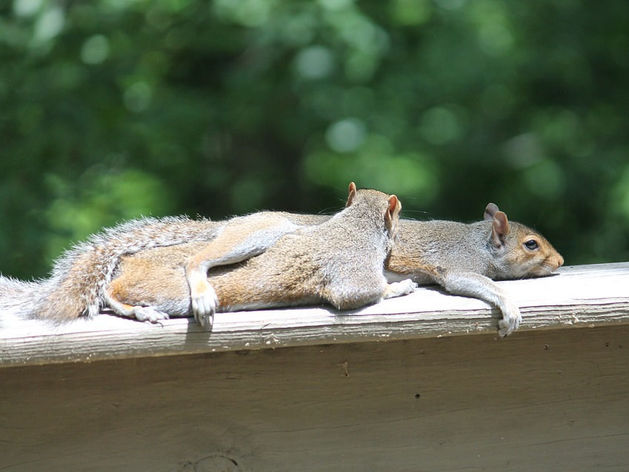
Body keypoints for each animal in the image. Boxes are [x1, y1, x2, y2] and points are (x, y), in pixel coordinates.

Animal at [104, 181, 418, 328]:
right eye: (399, 213)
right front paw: (401, 286)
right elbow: (362, 292)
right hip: (172, 291)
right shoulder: (353, 268)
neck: (355, 223)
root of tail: (129, 264)